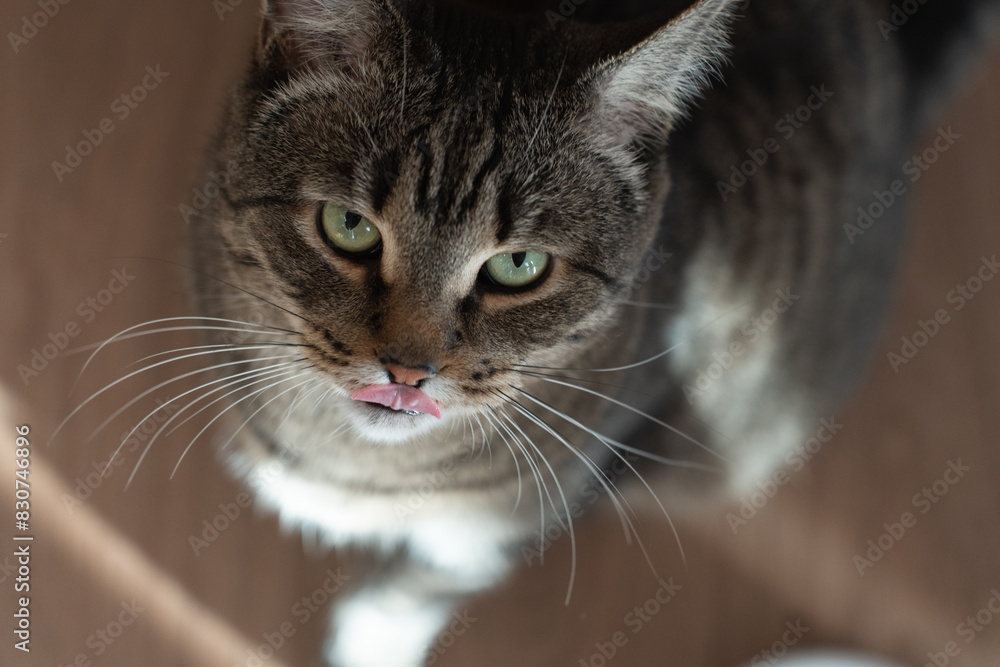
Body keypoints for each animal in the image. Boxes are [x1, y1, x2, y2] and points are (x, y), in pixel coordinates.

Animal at [180, 0, 1000, 664]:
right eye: (348, 226)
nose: (407, 369)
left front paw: (373, 636)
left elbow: (426, 580)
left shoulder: (550, 495)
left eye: (518, 265)